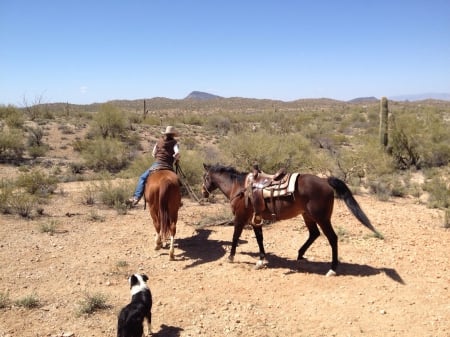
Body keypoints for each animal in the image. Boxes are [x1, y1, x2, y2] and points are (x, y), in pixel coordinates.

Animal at [200, 163, 380, 276]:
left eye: (205, 177)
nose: (203, 192)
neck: (239, 187)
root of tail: (325, 180)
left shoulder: (240, 217)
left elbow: (235, 236)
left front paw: (231, 257)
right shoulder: (255, 219)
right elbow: (259, 239)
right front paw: (261, 260)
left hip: (322, 218)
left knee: (332, 238)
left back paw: (332, 269)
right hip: (308, 216)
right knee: (314, 234)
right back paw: (300, 255)